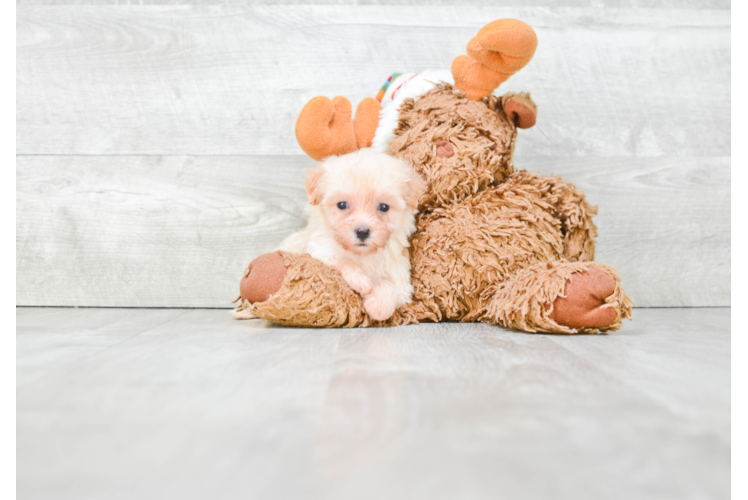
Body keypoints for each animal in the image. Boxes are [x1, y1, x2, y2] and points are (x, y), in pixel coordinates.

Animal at [278, 147, 426, 320]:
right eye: (342, 205)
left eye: (384, 207)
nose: (362, 232)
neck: (362, 254)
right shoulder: (320, 251)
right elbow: (342, 260)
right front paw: (361, 281)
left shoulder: (400, 277)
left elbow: (391, 288)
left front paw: (379, 306)